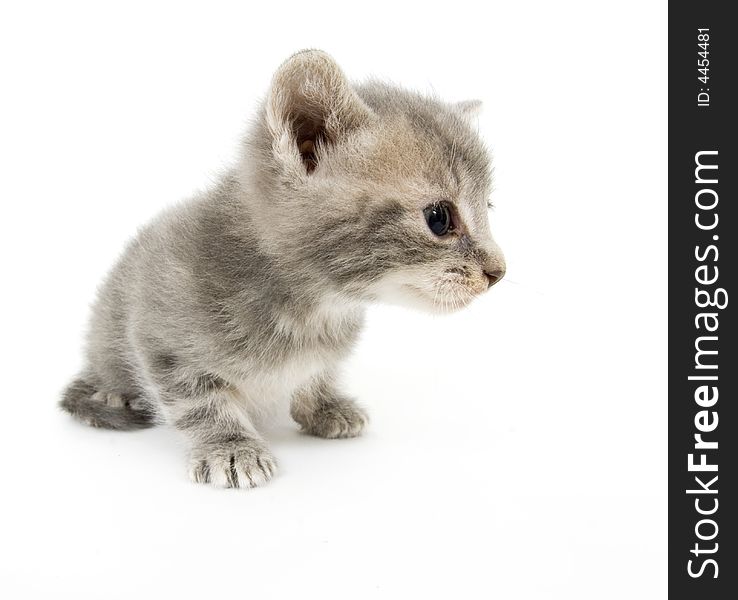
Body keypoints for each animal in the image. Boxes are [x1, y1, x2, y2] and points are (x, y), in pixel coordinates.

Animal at [60, 50, 504, 488]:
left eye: (488, 208)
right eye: (439, 218)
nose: (498, 272)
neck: (315, 309)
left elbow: (318, 371)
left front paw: (324, 406)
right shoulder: (160, 332)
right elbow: (198, 401)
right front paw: (231, 447)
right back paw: (114, 393)